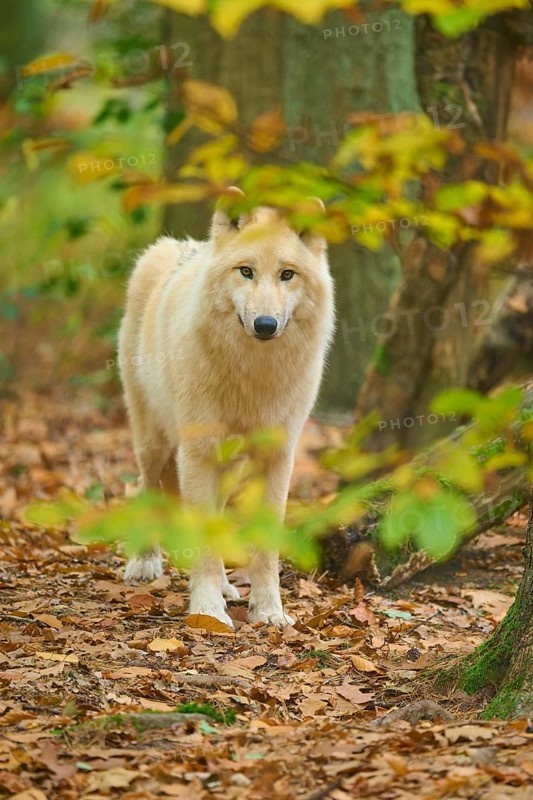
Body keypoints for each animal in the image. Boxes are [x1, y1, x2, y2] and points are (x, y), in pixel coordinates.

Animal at [118, 188, 335, 628]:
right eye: (245, 271)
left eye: (287, 275)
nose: (266, 324)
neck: (252, 375)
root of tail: (177, 245)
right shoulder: (197, 454)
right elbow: (201, 539)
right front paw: (207, 612)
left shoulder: (277, 458)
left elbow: (265, 550)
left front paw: (269, 612)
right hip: (155, 442)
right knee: (146, 487)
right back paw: (145, 564)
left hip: (229, 468)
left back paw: (224, 585)